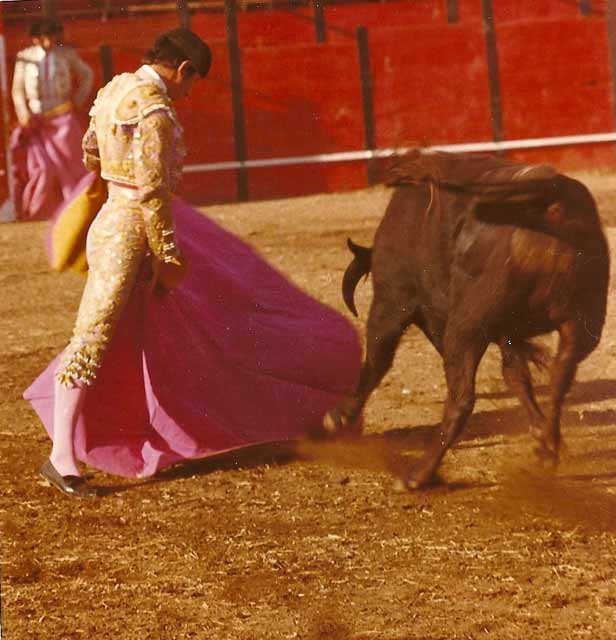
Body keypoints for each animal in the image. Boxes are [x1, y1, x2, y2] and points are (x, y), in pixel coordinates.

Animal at [324, 150, 608, 490]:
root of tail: (549, 197)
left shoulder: (392, 299)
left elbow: (377, 360)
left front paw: (340, 416)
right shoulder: (508, 331)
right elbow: (516, 375)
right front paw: (541, 435)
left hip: (463, 328)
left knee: (462, 399)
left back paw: (418, 476)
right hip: (581, 324)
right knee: (560, 375)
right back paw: (548, 449)